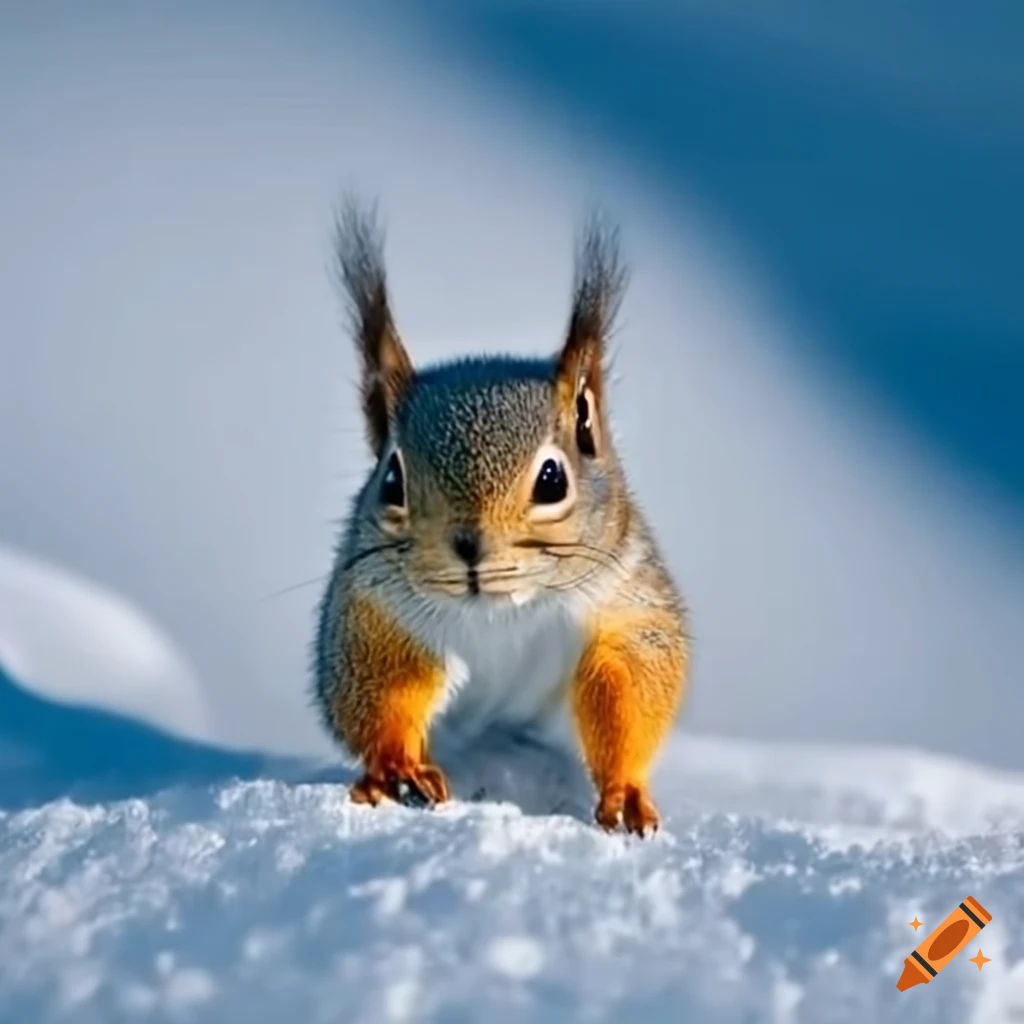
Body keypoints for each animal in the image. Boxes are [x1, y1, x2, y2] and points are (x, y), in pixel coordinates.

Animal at [314, 199, 689, 836]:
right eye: (392, 479)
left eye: (552, 479)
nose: (469, 548)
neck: (499, 611)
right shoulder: (376, 608)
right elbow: (382, 687)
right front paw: (396, 767)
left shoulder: (626, 602)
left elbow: (631, 682)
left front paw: (624, 792)